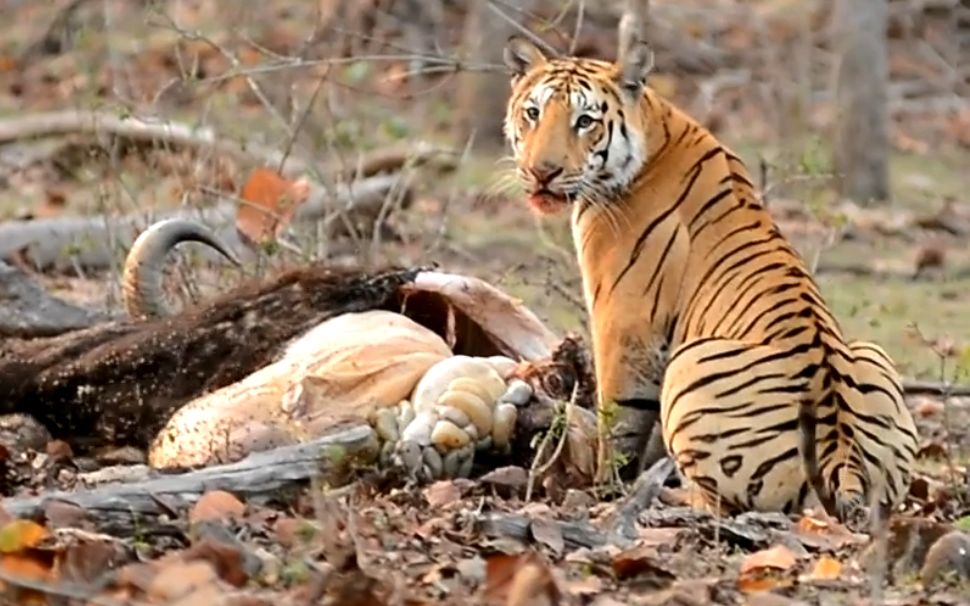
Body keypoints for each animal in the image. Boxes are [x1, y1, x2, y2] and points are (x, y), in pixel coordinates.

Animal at [502, 35, 920, 524]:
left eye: (584, 121)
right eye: (533, 113)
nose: (542, 172)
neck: (653, 127)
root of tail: (844, 460)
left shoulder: (625, 325)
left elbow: (618, 418)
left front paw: (604, 487)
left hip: (690, 363)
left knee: (717, 503)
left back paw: (666, 495)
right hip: (873, 356)